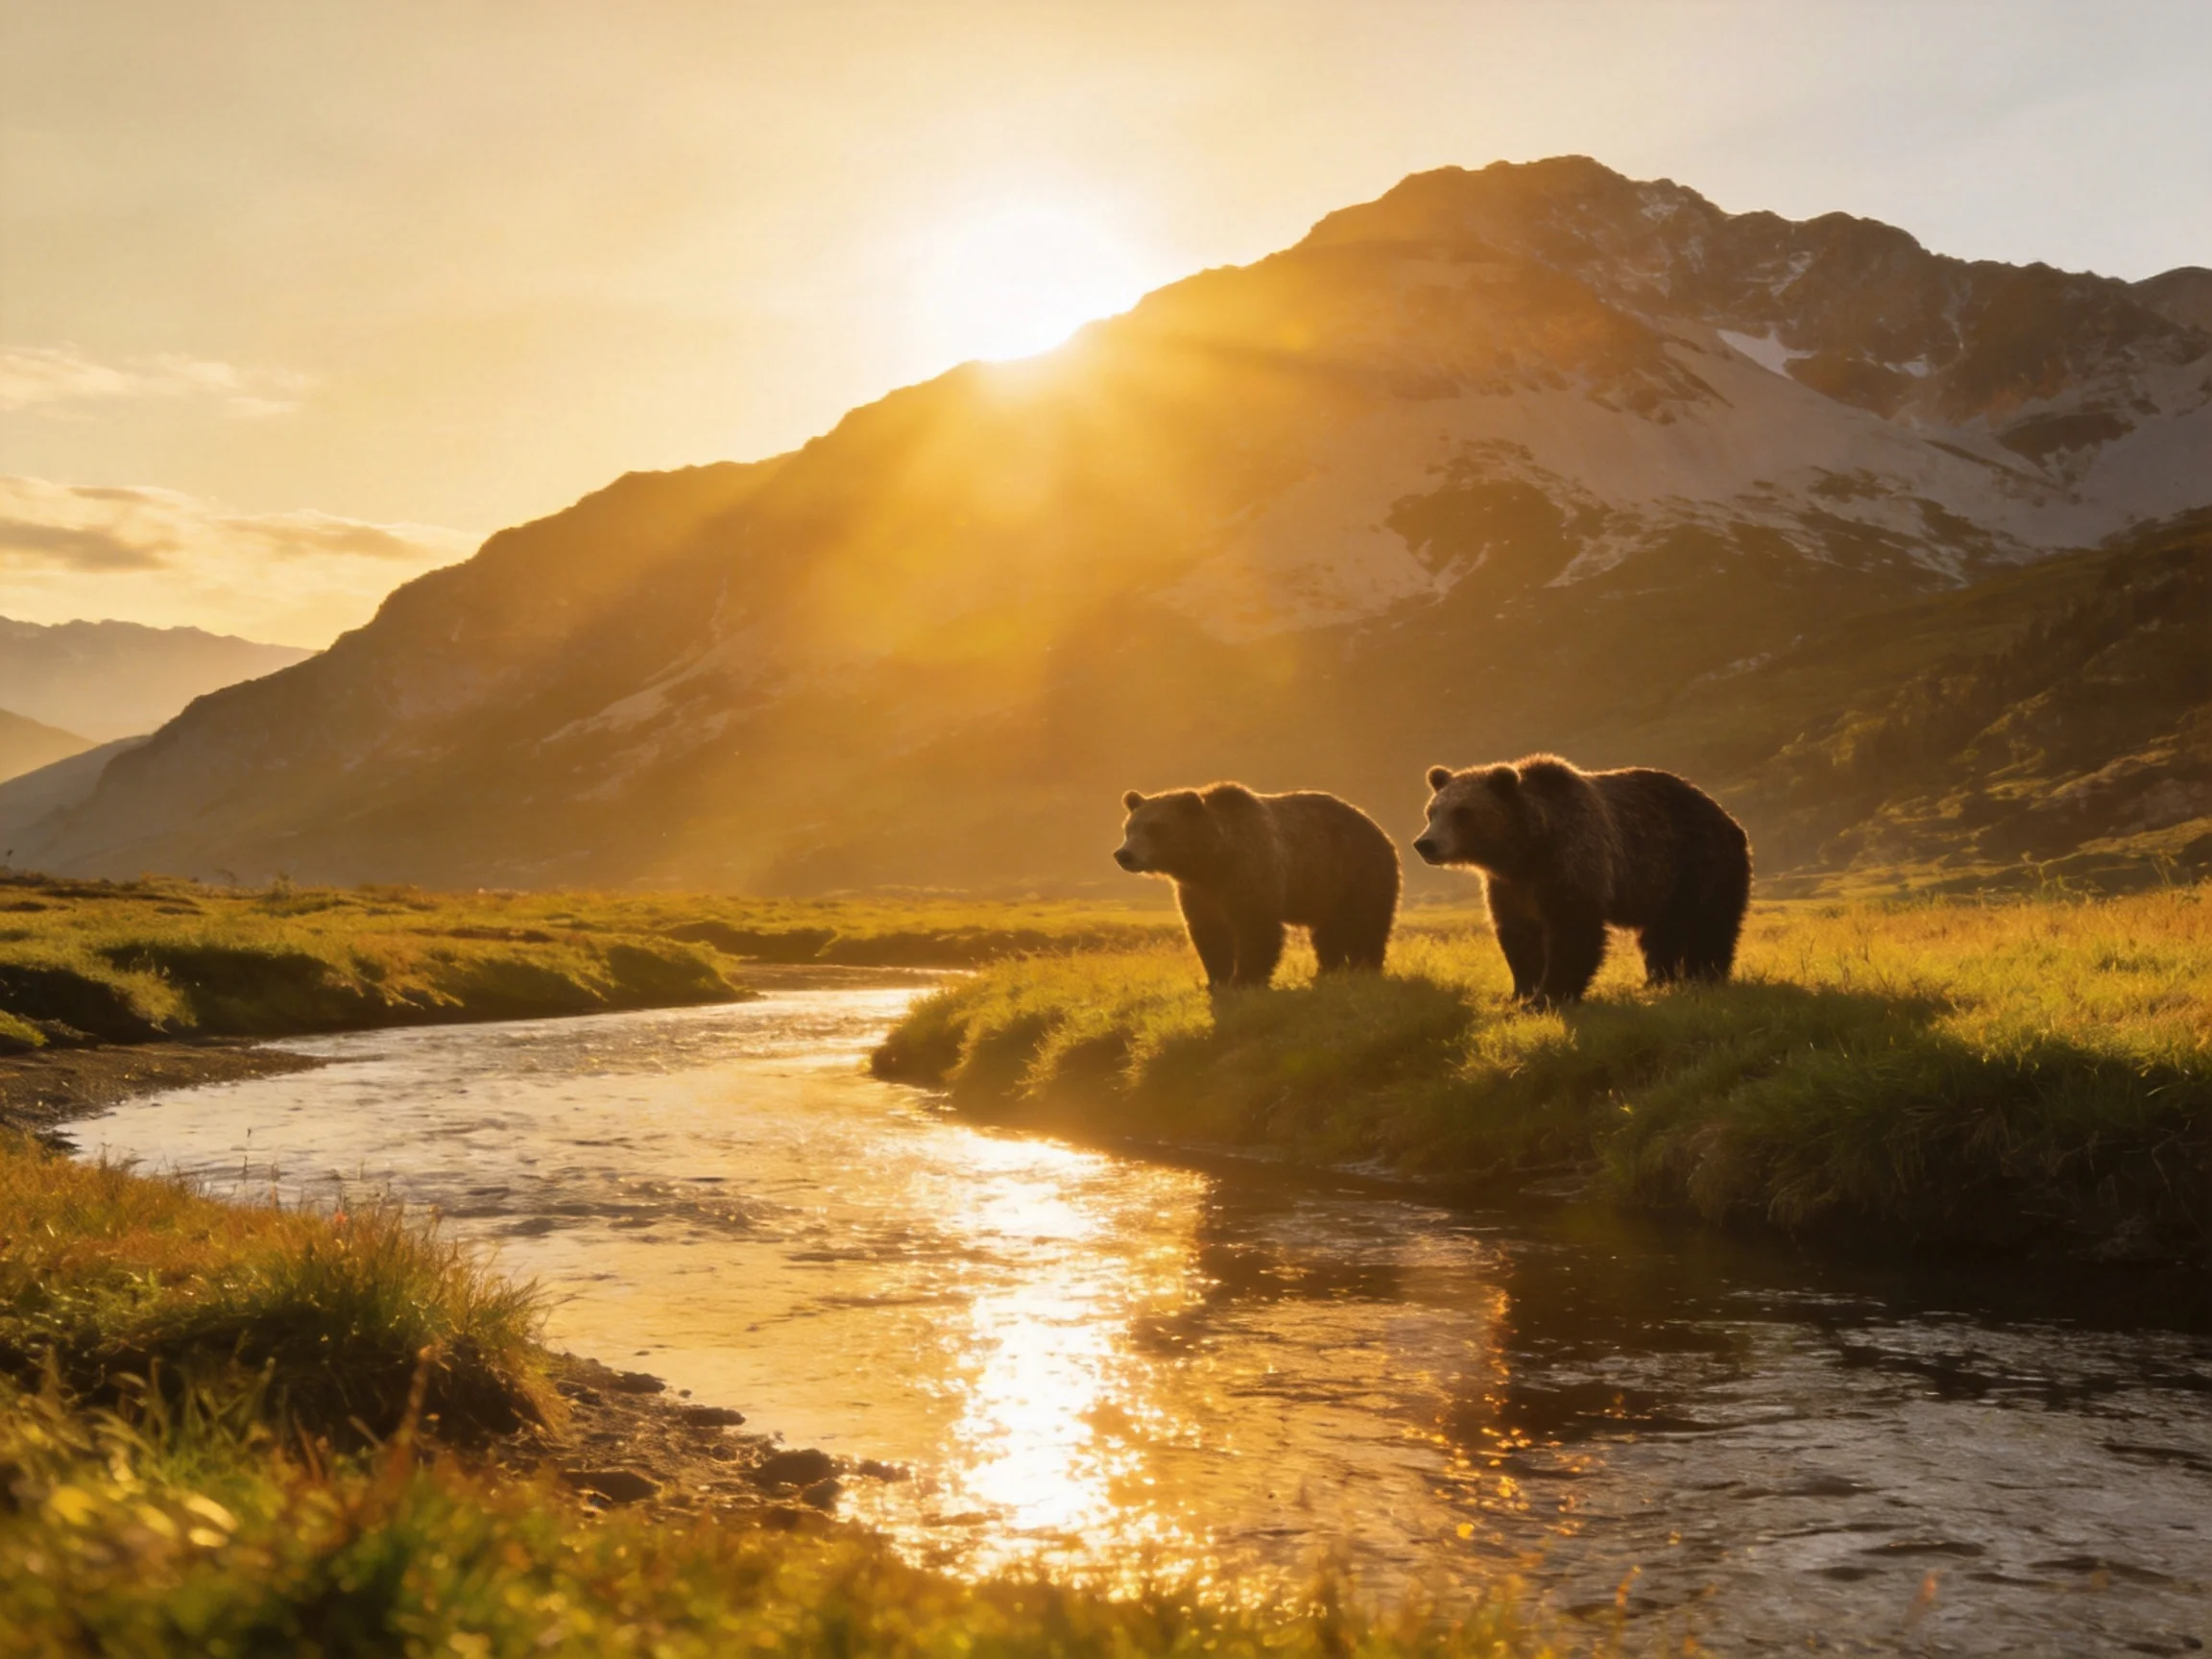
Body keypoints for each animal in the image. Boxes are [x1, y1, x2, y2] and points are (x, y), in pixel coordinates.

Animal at [1114, 783, 1401, 989]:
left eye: (1155, 828)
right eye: (1129, 827)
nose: (1124, 854)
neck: (1210, 861)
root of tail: (1376, 827)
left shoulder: (1251, 871)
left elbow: (1256, 927)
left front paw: (1244, 980)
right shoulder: (1199, 892)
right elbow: (1208, 931)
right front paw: (1217, 980)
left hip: (1359, 871)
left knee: (1367, 922)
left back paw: (1365, 967)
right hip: (1327, 889)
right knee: (1327, 931)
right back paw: (1327, 971)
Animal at [1412, 754, 1750, 1007]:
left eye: (1462, 812)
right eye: (1432, 811)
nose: (1425, 843)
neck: (1527, 848)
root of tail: (1727, 817)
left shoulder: (1573, 856)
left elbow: (1572, 929)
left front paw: (1546, 998)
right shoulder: (1510, 886)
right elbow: (1517, 933)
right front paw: (1520, 993)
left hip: (1700, 862)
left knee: (1710, 923)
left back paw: (1705, 976)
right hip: (1663, 886)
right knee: (1660, 934)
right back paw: (1658, 980)